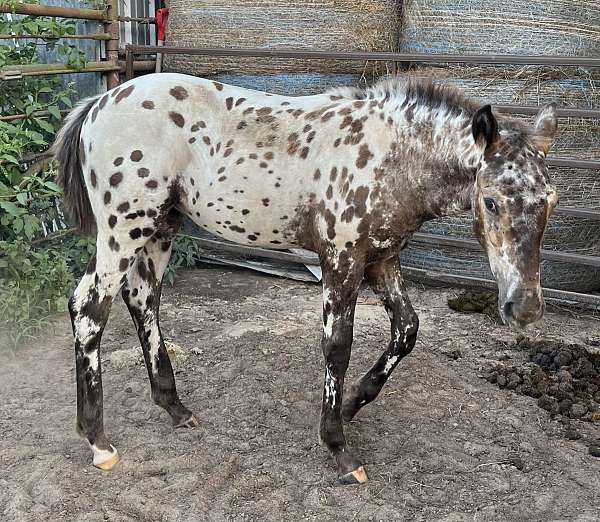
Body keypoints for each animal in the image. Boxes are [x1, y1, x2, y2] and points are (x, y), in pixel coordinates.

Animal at [52, 72, 556, 484]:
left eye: (549, 199)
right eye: (491, 200)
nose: (525, 306)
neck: (391, 155)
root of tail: (99, 101)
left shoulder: (382, 260)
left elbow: (407, 329)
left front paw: (351, 404)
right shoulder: (342, 260)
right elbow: (338, 346)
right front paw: (339, 450)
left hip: (161, 226)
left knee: (143, 300)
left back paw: (175, 408)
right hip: (124, 228)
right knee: (90, 308)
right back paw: (99, 442)